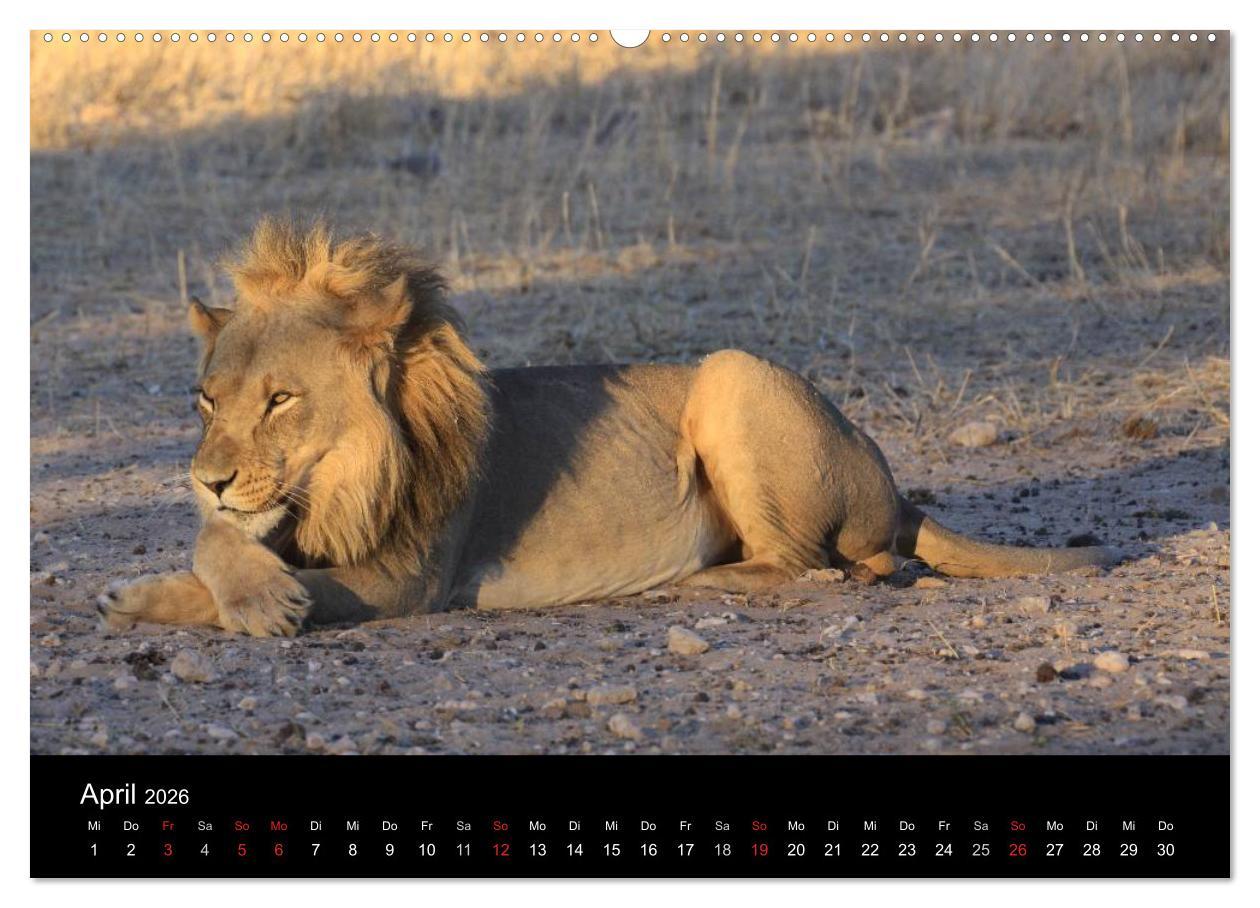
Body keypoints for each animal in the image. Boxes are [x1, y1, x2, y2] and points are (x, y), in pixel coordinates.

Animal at [99, 219, 1120, 637]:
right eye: (205, 401)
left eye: (281, 400)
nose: (207, 476)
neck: (335, 482)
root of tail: (896, 487)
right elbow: (215, 544)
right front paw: (156, 584)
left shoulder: (404, 582)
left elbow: (269, 585)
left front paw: (230, 604)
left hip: (730, 376)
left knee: (828, 568)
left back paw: (690, 579)